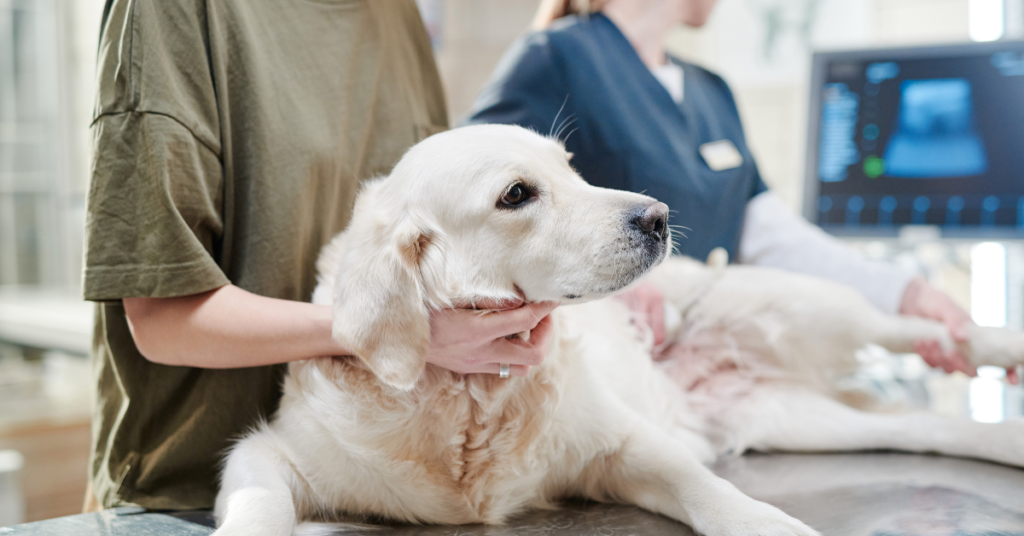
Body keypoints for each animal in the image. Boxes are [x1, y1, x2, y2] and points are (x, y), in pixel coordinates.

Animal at [209, 125, 1024, 536]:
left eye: (572, 168)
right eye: (517, 194)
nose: (658, 216)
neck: (471, 398)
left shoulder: (623, 444)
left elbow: (711, 493)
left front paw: (770, 523)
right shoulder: (272, 453)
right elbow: (258, 505)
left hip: (799, 302)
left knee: (911, 326)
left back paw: (993, 342)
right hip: (796, 417)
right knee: (926, 426)